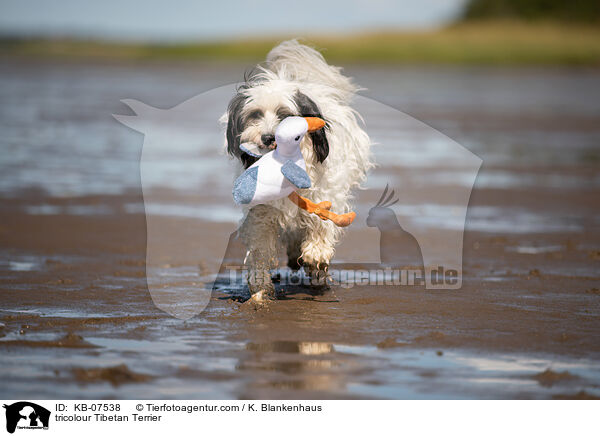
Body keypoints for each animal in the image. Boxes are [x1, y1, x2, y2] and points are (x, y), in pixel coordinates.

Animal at [220, 40, 372, 300]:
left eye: (285, 115)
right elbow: (260, 245)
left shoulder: (323, 190)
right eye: (255, 115)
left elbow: (321, 221)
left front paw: (316, 254)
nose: (268, 137)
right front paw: (260, 286)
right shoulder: (261, 209)